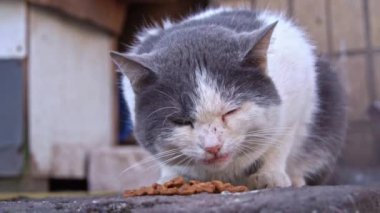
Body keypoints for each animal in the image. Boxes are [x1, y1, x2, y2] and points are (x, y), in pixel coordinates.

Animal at [110, 7, 348, 189]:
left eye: (231, 111)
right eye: (181, 121)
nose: (213, 147)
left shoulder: (299, 85)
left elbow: (279, 142)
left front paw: (270, 175)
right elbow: (164, 159)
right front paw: (170, 178)